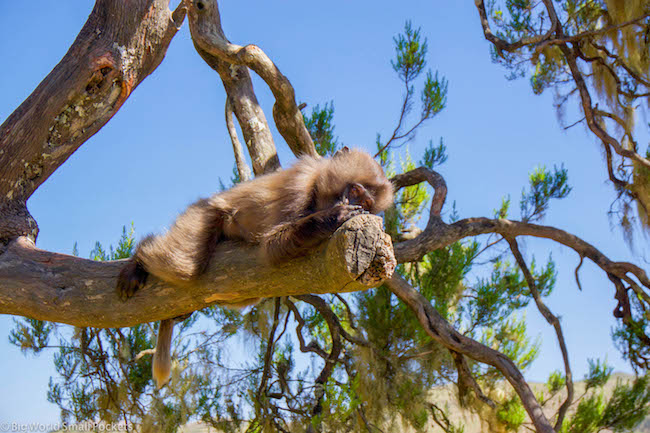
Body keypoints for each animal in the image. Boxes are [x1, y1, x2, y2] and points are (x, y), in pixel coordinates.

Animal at [114, 147, 392, 386]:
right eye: (355, 190)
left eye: (367, 203)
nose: (351, 202)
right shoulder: (299, 185)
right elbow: (272, 246)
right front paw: (335, 216)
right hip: (202, 212)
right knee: (185, 266)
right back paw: (139, 258)